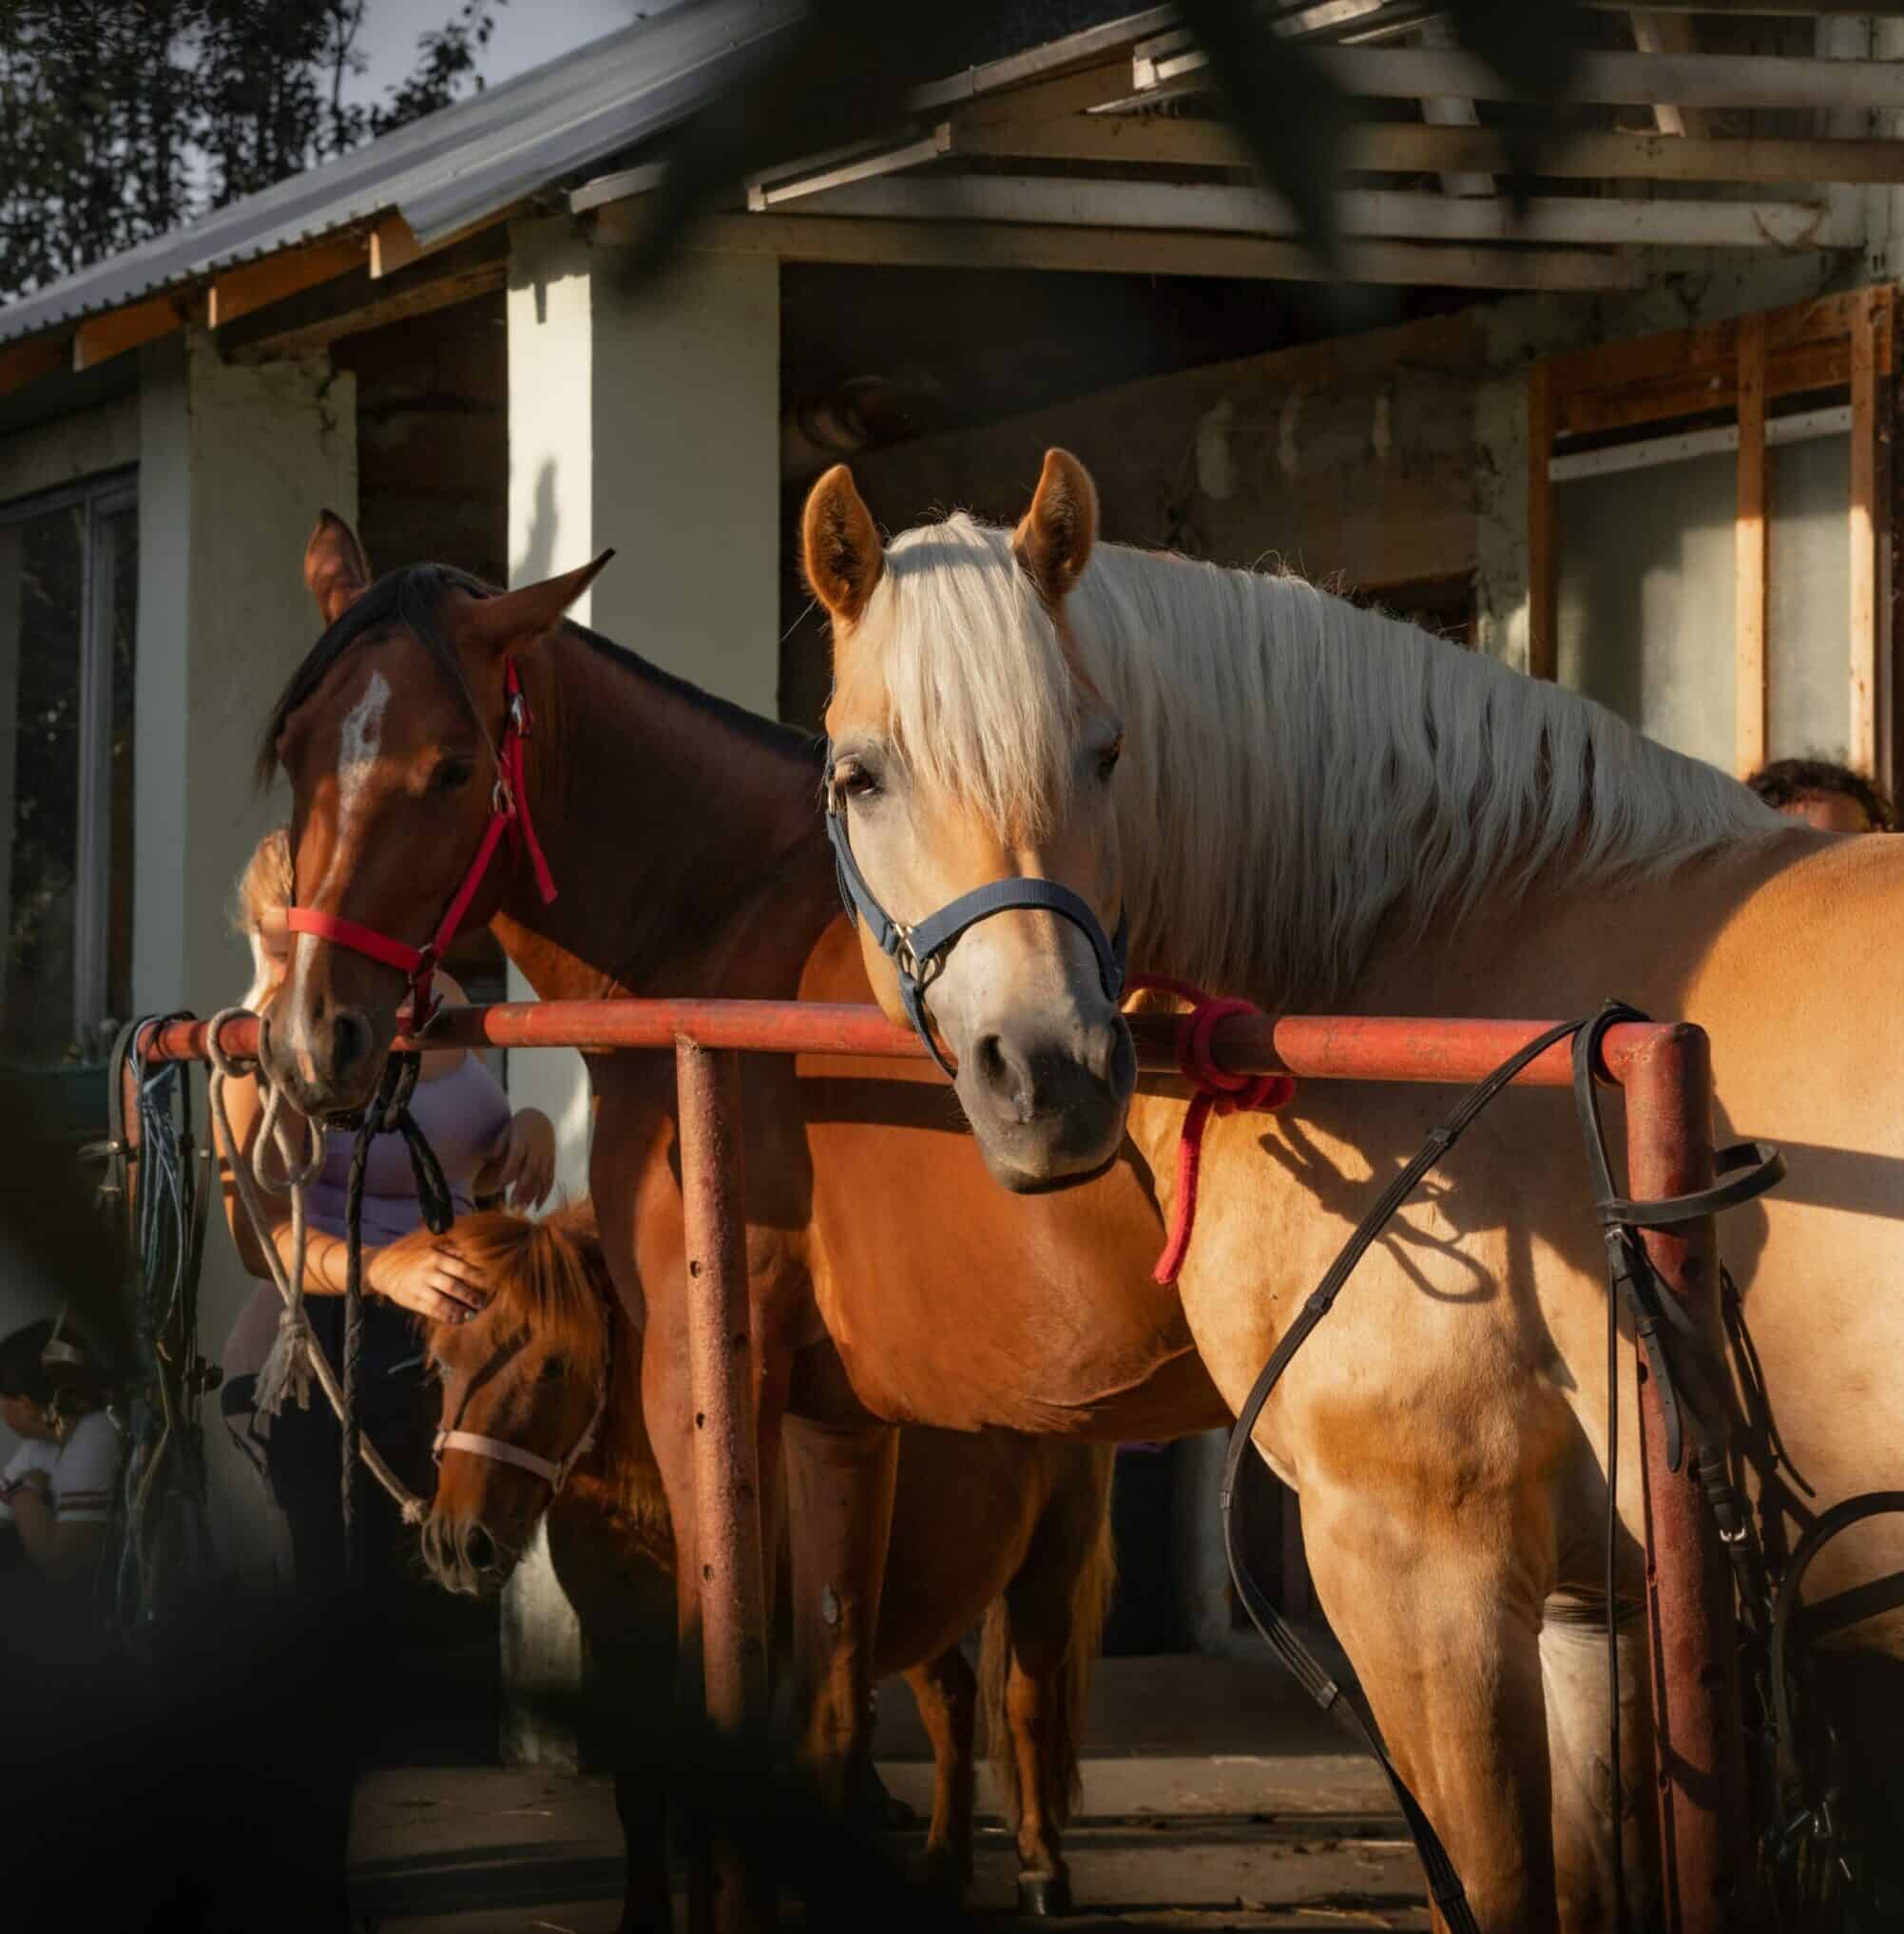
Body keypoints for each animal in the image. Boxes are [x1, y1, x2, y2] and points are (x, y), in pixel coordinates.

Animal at [403, 1200, 1114, 1923]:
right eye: (439, 1365)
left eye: (552, 1364)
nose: (458, 1544)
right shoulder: (621, 1646)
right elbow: (638, 1791)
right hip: (918, 1593)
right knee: (952, 1701)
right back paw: (943, 1867)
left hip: (1049, 1567)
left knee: (1025, 1704)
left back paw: (1040, 1868)